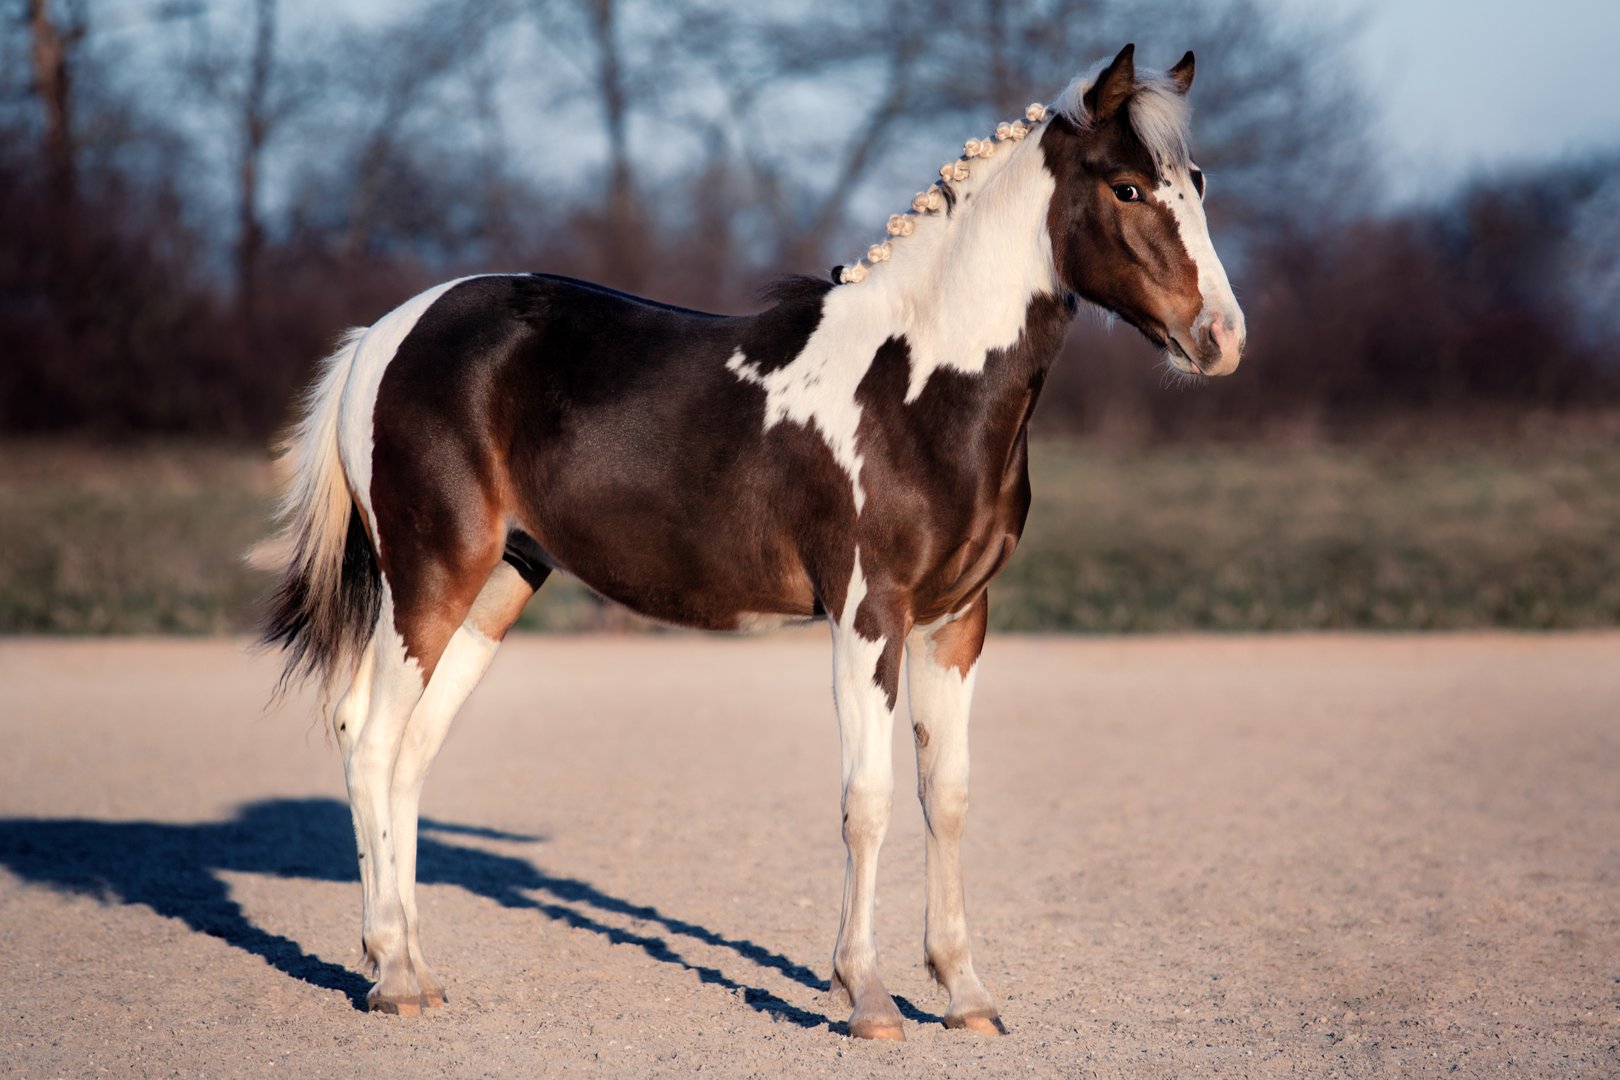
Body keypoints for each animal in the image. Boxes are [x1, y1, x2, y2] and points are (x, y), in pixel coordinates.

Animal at [255, 43, 1244, 1041]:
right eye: (1127, 188)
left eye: (1196, 182)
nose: (1222, 338)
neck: (919, 386)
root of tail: (384, 334)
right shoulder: (869, 617)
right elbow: (868, 800)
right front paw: (867, 996)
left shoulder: (957, 624)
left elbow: (949, 797)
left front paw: (965, 995)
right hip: (428, 577)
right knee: (369, 737)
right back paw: (390, 973)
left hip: (495, 586)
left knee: (412, 753)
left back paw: (417, 968)